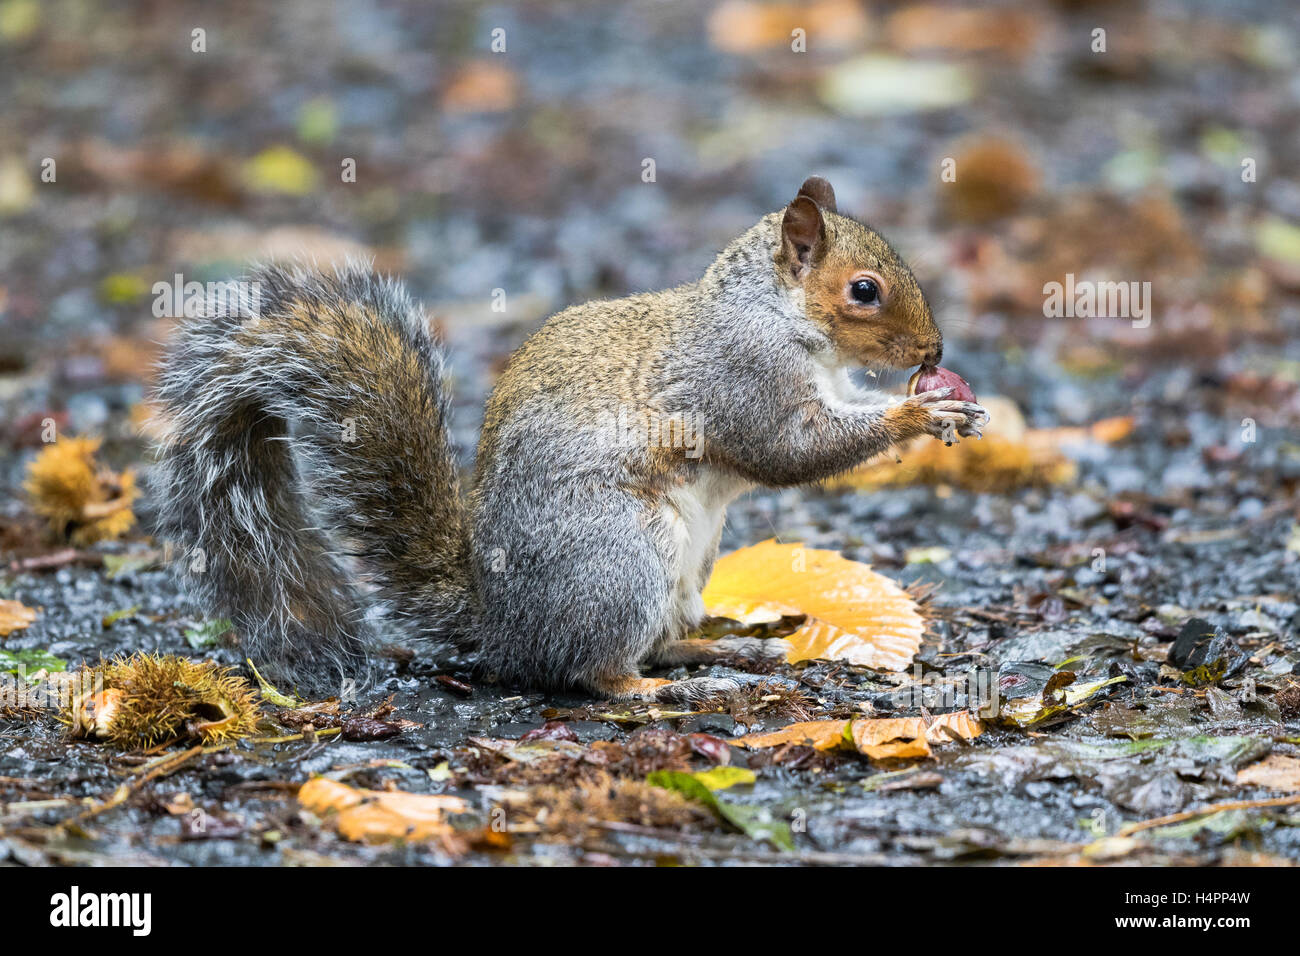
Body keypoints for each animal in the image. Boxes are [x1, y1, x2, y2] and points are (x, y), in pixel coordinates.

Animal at [152, 178, 982, 702]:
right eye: (864, 290)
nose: (935, 351)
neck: (774, 315)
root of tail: (503, 626)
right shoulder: (742, 378)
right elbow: (792, 450)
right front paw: (915, 416)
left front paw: (942, 404)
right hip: (622, 554)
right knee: (590, 669)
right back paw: (656, 689)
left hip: (686, 566)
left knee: (658, 639)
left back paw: (724, 649)